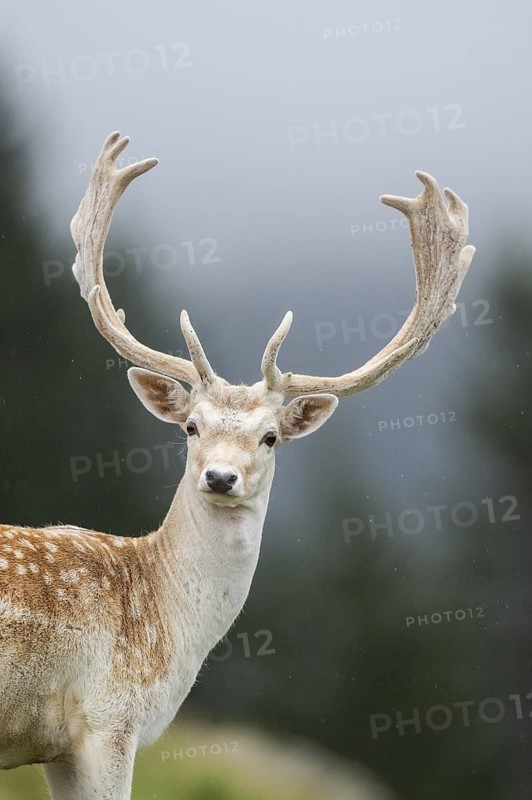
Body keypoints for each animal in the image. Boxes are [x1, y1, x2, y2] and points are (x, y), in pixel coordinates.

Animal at [0, 131, 475, 799]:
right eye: (190, 427)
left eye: (271, 437)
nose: (221, 476)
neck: (167, 628)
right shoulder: (107, 719)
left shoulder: (62, 745)